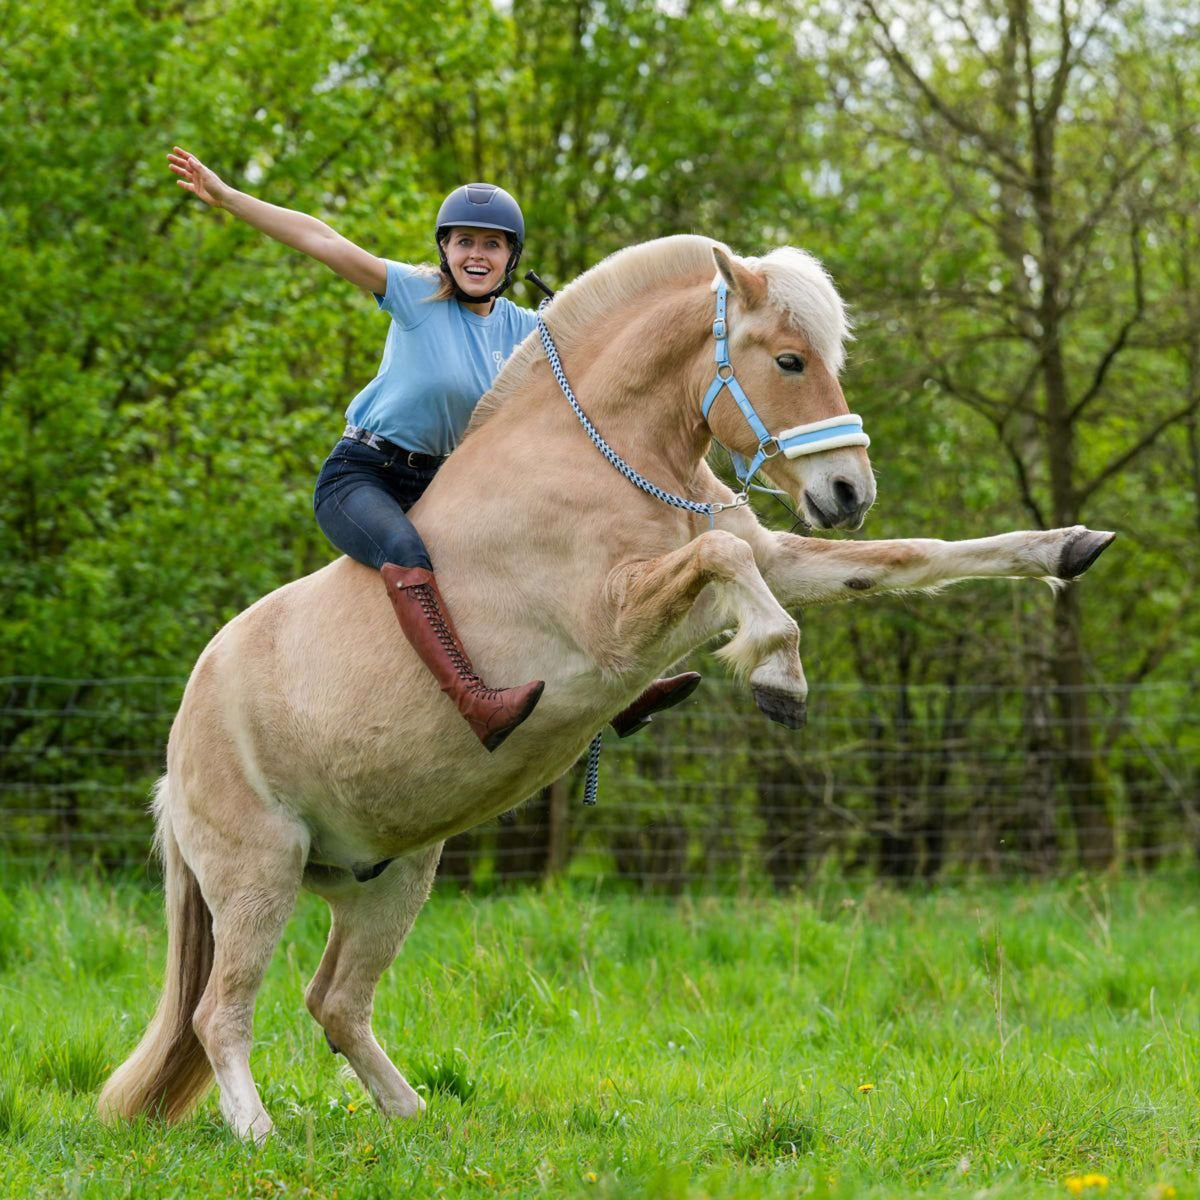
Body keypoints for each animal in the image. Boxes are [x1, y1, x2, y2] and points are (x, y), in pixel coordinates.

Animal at [96, 236, 1113, 1142]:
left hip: (391, 875)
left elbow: (906, 560)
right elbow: (729, 560)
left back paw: (414, 1119)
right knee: (221, 1013)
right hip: (258, 878)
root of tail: (177, 753)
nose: (846, 491)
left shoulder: (778, 559)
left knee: (336, 1003)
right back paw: (257, 1131)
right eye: (789, 360)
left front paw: (1068, 546)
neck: (602, 455)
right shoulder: (617, 620)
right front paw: (779, 677)